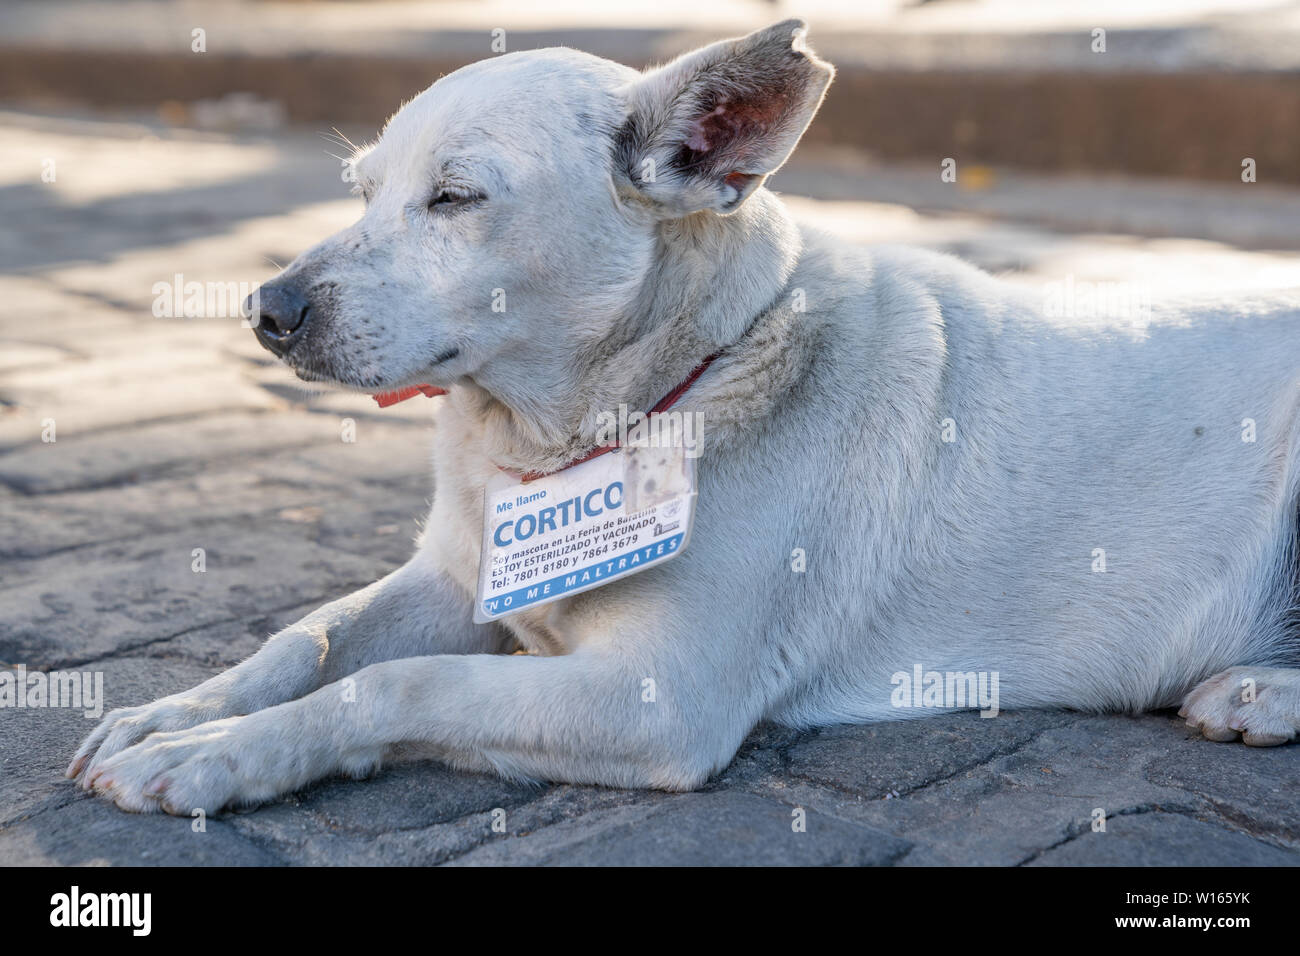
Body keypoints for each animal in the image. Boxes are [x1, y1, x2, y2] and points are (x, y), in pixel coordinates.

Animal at [71, 20, 1300, 816]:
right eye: (362, 190)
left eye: (456, 198)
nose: (267, 309)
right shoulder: (452, 579)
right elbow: (308, 637)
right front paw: (177, 711)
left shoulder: (653, 702)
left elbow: (394, 683)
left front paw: (214, 756)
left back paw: (1257, 688)